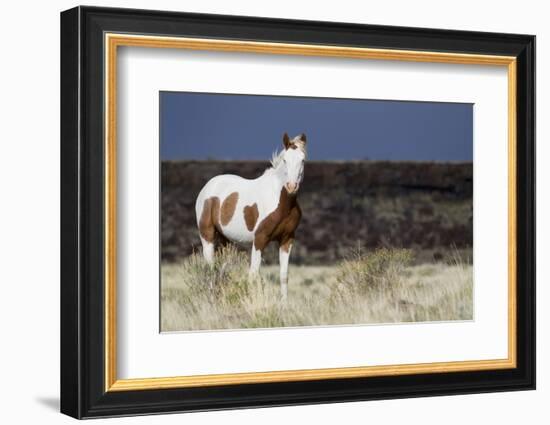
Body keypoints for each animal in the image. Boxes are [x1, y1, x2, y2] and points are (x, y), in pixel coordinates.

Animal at [194, 131, 306, 300]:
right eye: (285, 160)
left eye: (303, 160)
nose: (291, 187)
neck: (281, 202)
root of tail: (208, 187)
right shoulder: (259, 239)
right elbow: (253, 274)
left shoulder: (287, 239)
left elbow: (283, 276)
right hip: (207, 236)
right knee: (210, 270)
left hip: (225, 240)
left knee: (221, 270)